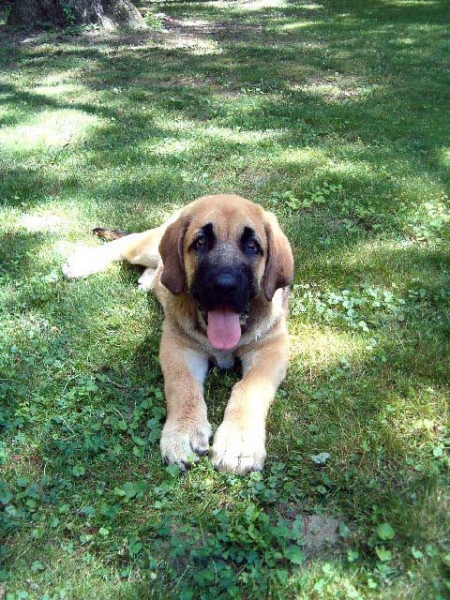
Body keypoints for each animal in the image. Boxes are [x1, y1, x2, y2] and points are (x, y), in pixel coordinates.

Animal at [64, 195, 296, 476]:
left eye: (252, 246)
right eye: (201, 242)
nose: (224, 286)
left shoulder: (272, 347)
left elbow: (250, 388)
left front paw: (238, 443)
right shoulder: (179, 345)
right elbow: (183, 385)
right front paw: (183, 432)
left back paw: (149, 280)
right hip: (145, 247)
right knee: (126, 244)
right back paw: (82, 263)